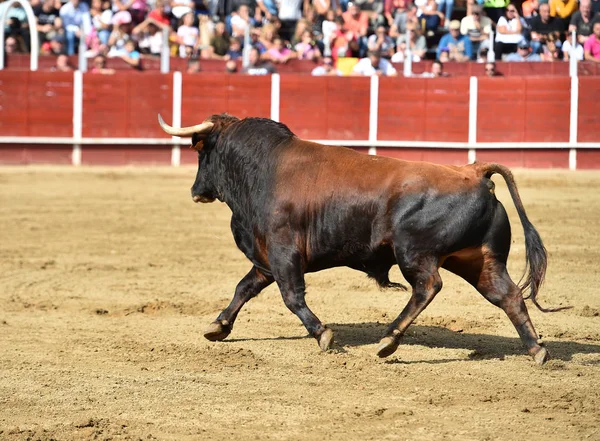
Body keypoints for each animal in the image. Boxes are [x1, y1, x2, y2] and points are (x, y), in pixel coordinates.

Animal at [156, 113, 568, 364]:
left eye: (200, 153)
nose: (196, 191)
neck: (263, 168)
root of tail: (473, 170)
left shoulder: (284, 252)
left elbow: (291, 296)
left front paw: (323, 334)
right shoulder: (267, 257)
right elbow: (244, 288)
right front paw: (218, 326)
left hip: (414, 253)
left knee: (428, 287)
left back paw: (389, 340)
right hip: (479, 260)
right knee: (508, 296)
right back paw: (536, 350)